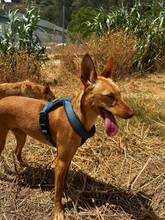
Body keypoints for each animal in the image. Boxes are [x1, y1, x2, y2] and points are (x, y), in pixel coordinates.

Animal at [0, 53, 133, 220]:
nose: (132, 113)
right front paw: (58, 211)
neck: (77, 116)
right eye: (109, 96)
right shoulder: (61, 161)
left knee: (17, 151)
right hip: (2, 140)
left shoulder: (69, 156)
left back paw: (25, 166)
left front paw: (66, 189)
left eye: (120, 94)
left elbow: (63, 181)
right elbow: (57, 191)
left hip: (21, 135)